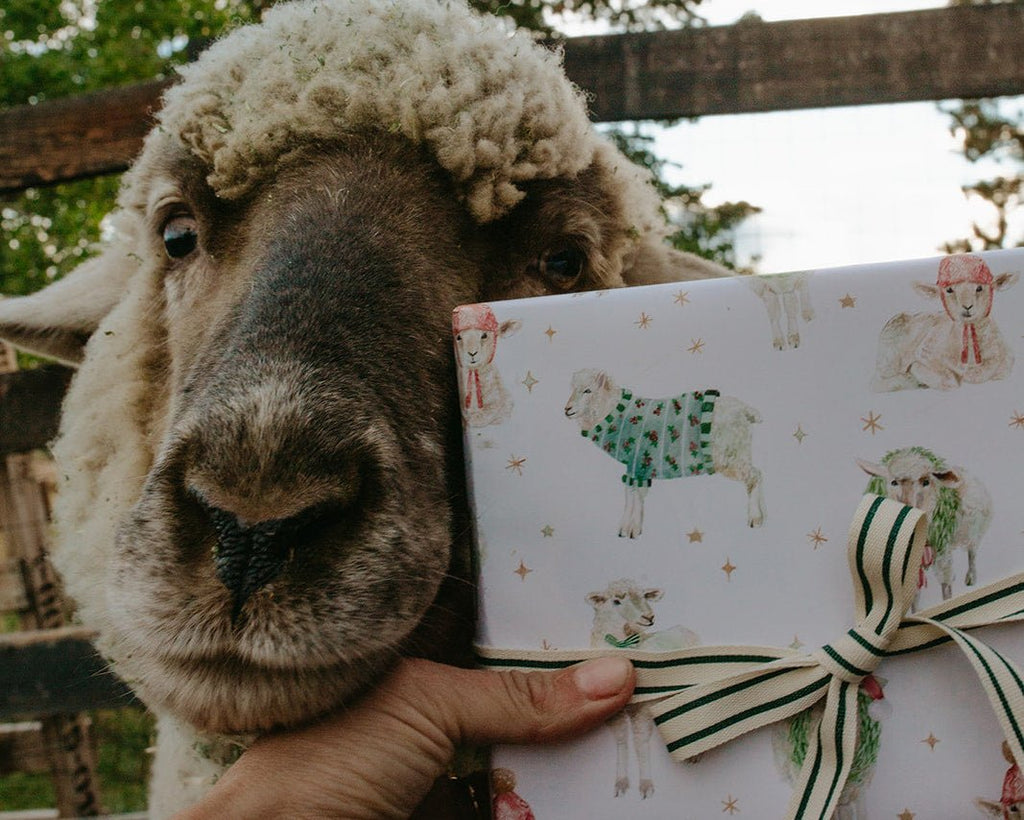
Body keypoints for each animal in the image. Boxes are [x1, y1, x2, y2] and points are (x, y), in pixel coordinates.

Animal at [564, 368, 765, 537]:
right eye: (573, 389)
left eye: (588, 391)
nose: (567, 409)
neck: (613, 413)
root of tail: (746, 411)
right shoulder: (635, 467)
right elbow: (631, 495)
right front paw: (626, 529)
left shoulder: (638, 464)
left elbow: (635, 496)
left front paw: (631, 530)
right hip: (737, 454)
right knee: (754, 476)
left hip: (730, 455)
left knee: (755, 475)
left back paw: (755, 518)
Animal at [586, 579, 700, 799]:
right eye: (616, 601)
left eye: (645, 596)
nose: (649, 616)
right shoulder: (616, 712)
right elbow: (622, 740)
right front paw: (621, 782)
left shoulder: (644, 708)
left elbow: (640, 742)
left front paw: (646, 785)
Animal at [858, 446, 992, 603]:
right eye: (893, 482)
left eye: (926, 481)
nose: (908, 509)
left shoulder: (942, 551)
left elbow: (946, 584)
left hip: (975, 532)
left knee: (972, 553)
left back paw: (971, 578)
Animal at [872, 254, 1019, 392]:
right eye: (949, 290)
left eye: (979, 288)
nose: (967, 307)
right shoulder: (924, 353)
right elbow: (948, 380)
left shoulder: (1006, 357)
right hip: (888, 358)